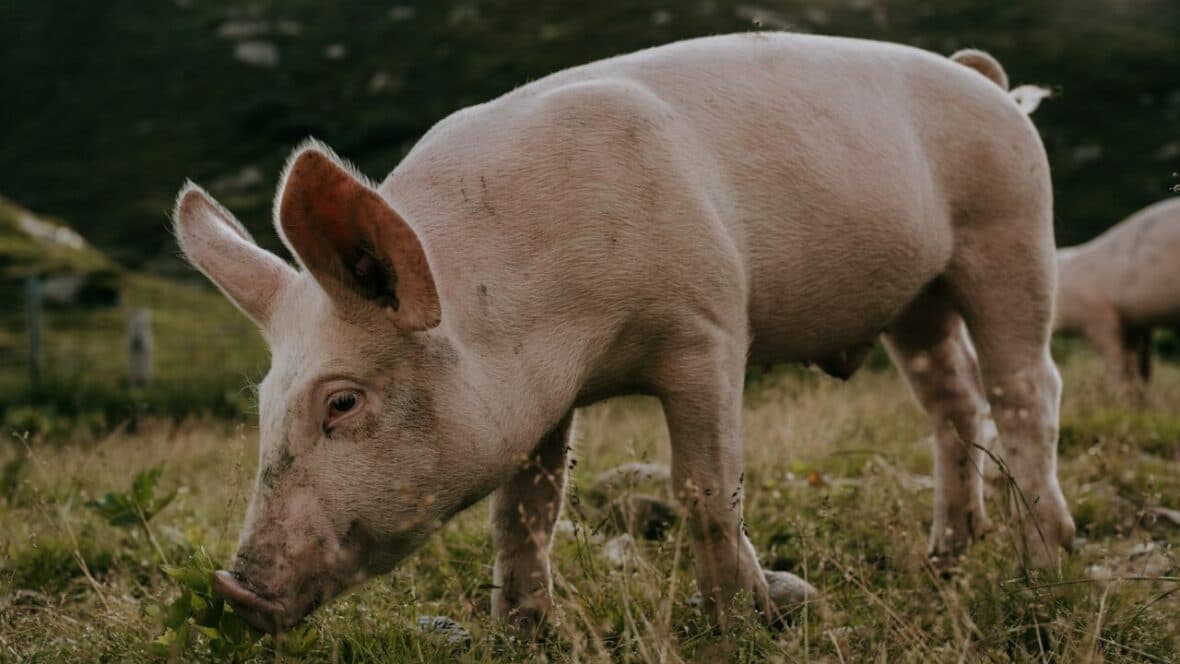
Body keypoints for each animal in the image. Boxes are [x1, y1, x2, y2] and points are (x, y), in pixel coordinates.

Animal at [172, 33, 1074, 634]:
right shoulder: (535, 400)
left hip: (1009, 228)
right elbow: (525, 512)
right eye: (262, 404)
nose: (236, 590)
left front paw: (746, 619)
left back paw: (1044, 559)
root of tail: (983, 79)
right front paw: (523, 633)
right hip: (916, 296)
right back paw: (945, 557)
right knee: (952, 399)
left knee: (1027, 387)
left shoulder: (708, 327)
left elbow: (704, 487)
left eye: (343, 402)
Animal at [1053, 197, 1180, 393]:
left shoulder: (1099, 317)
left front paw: (1120, 395)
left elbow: (1119, 363)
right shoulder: (1136, 323)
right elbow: (1142, 368)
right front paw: (1139, 398)